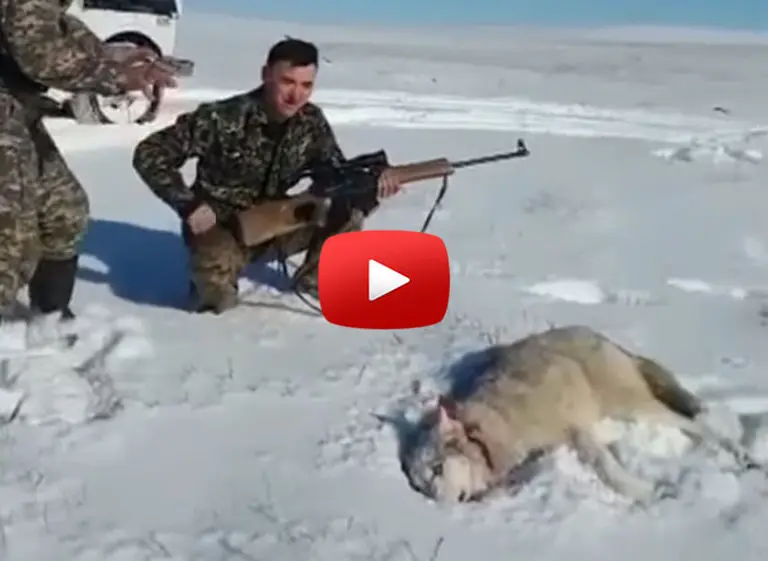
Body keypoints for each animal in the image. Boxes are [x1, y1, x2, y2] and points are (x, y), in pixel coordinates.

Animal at [401, 325, 766, 505]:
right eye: (422, 486)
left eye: (437, 470)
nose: (441, 508)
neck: (490, 434)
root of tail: (595, 334)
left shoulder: (574, 429)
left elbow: (606, 467)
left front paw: (645, 494)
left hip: (630, 405)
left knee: (697, 423)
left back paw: (743, 455)